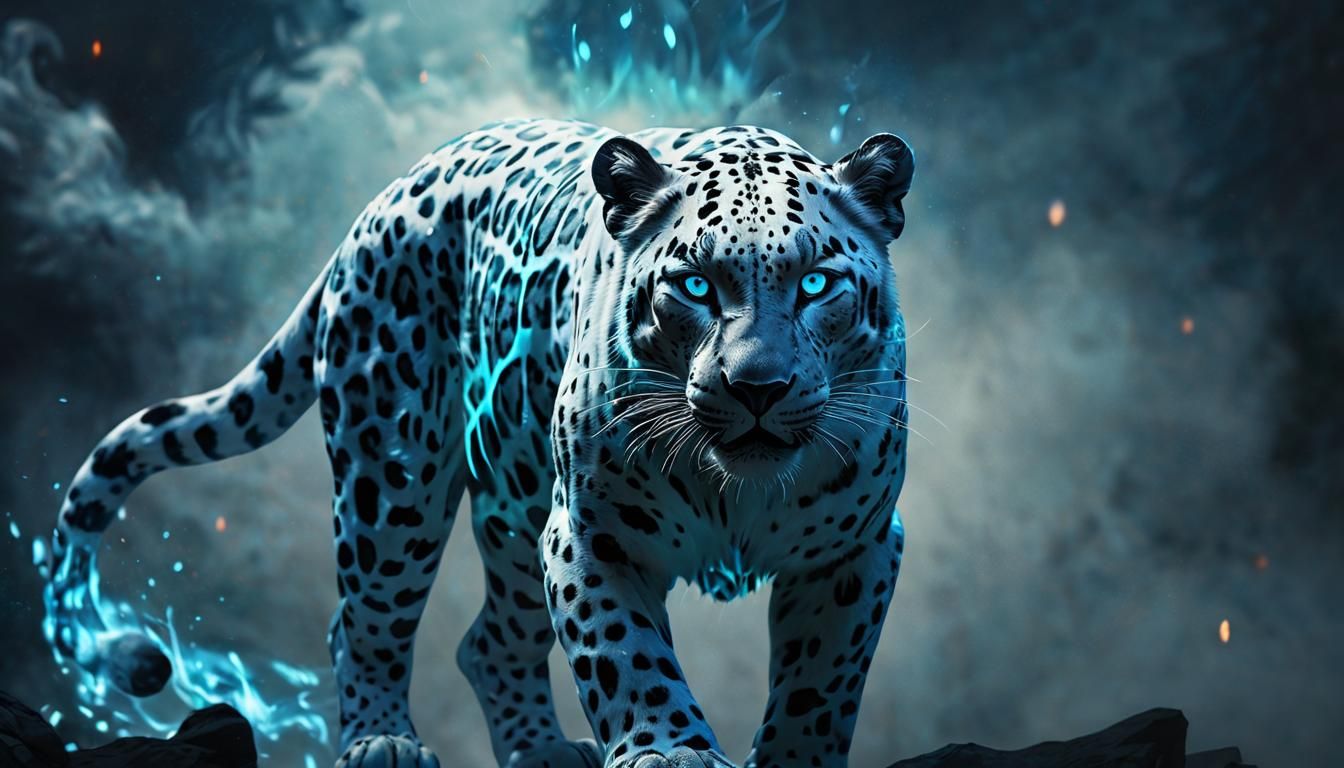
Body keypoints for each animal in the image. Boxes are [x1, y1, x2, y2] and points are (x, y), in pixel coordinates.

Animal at [45, 117, 915, 768]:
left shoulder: (858, 548)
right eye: (695, 285)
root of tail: (381, 198)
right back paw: (382, 743)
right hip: (392, 480)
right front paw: (669, 751)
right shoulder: (591, 534)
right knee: (362, 621)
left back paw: (541, 751)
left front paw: (794, 758)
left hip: (513, 501)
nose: (757, 386)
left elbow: (821, 679)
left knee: (489, 643)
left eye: (817, 284)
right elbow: (627, 655)